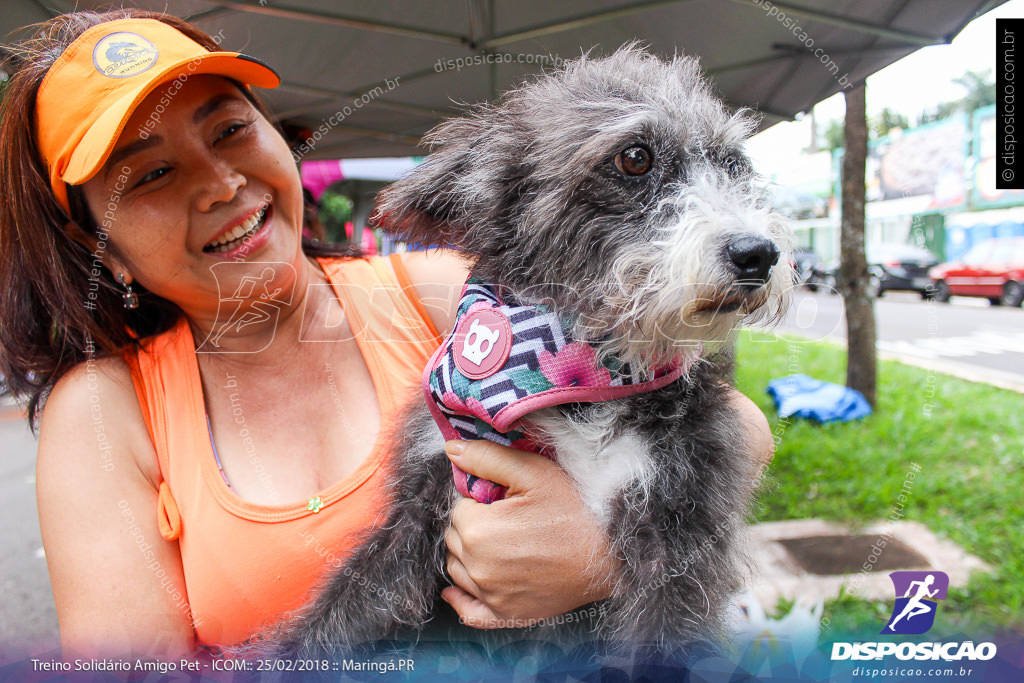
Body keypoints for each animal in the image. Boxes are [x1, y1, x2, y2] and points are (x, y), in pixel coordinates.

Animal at [268, 45, 786, 659]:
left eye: (733, 164)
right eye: (635, 158)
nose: (759, 254)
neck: (578, 382)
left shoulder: (680, 525)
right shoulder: (431, 490)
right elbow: (343, 609)